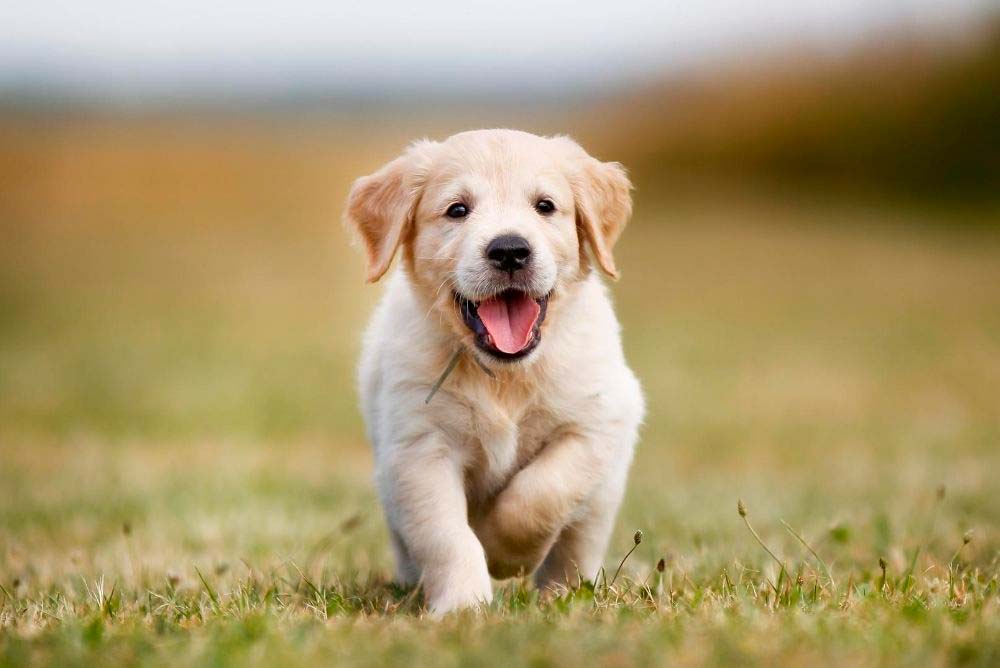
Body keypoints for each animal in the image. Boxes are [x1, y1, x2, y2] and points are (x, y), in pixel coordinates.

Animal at [348, 128, 644, 612]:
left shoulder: (596, 423)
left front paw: (506, 553)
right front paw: (463, 605)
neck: (505, 375)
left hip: (603, 496)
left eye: (545, 205)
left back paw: (564, 592)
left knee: (577, 543)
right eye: (457, 209)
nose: (509, 250)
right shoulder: (419, 450)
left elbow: (542, 492)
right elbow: (447, 536)